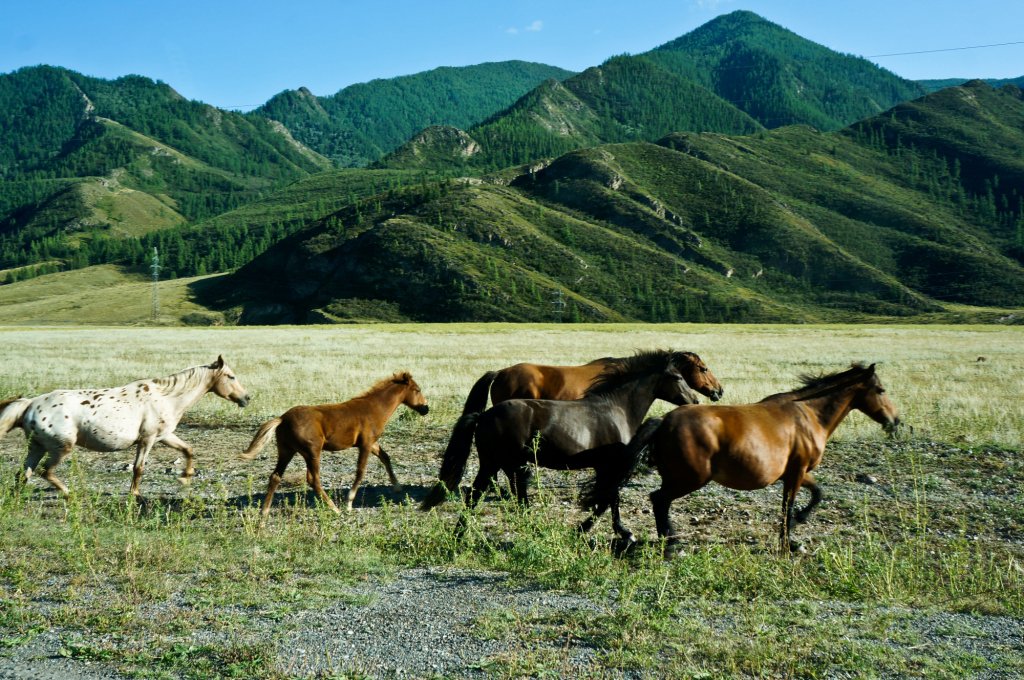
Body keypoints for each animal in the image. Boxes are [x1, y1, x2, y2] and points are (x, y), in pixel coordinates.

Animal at [0, 358, 249, 497]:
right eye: (231, 376)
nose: (247, 398)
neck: (166, 397)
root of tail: (30, 404)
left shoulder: (165, 435)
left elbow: (188, 450)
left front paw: (185, 478)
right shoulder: (148, 439)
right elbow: (139, 468)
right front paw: (135, 494)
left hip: (36, 446)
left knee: (23, 474)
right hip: (61, 448)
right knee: (45, 471)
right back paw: (69, 494)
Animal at [239, 372, 428, 516]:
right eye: (417, 390)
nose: (426, 409)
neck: (374, 408)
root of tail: (283, 418)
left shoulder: (372, 443)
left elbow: (386, 457)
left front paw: (397, 486)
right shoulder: (366, 443)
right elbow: (361, 471)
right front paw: (349, 502)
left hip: (286, 451)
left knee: (275, 476)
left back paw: (264, 512)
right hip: (312, 451)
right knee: (313, 479)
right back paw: (334, 509)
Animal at [419, 350, 708, 540]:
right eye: (678, 377)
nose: (695, 401)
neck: (616, 409)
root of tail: (484, 416)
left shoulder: (604, 466)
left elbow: (609, 498)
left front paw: (614, 530)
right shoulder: (610, 465)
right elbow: (608, 499)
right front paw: (613, 532)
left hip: (500, 463)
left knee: (491, 495)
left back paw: (463, 533)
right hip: (501, 463)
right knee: (488, 495)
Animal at [581, 360, 901, 553]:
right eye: (881, 389)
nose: (895, 421)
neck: (808, 415)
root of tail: (665, 421)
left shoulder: (796, 471)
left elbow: (816, 494)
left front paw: (797, 525)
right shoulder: (796, 473)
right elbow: (788, 505)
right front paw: (790, 540)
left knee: (657, 500)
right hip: (690, 478)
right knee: (659, 500)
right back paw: (671, 544)